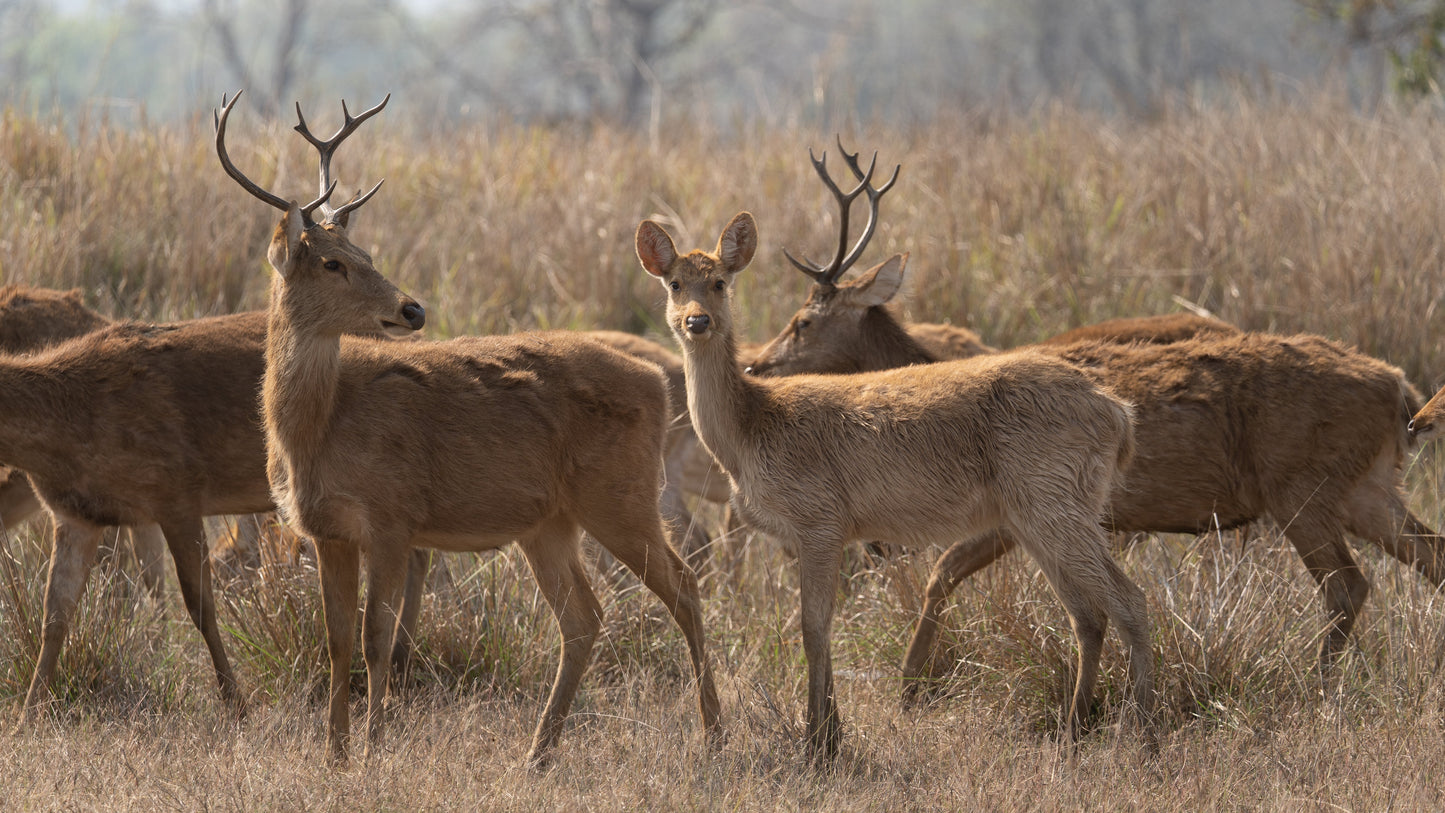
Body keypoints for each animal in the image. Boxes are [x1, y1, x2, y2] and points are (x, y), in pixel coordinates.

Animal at [215, 91, 719, 766]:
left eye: (367, 256)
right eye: (331, 262)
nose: (412, 308)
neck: (318, 429)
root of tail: (658, 384)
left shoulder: (393, 516)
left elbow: (378, 637)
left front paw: (372, 748)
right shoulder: (328, 530)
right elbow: (336, 641)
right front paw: (334, 754)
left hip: (622, 496)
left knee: (683, 584)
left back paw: (713, 731)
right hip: (549, 522)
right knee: (584, 616)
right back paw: (538, 751)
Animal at [636, 190, 1155, 759]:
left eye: (720, 282)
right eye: (674, 283)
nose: (697, 322)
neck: (752, 429)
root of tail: (1120, 415)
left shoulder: (820, 518)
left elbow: (812, 627)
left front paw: (818, 742)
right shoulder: (823, 533)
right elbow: (822, 626)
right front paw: (831, 732)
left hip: (1054, 500)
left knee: (1130, 601)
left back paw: (1144, 735)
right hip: (1037, 515)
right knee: (1088, 615)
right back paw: (1072, 732)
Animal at [743, 143, 1439, 708]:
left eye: (803, 321)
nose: (756, 362)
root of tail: (1398, 389)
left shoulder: (1017, 505)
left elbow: (942, 571)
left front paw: (911, 684)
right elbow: (953, 574)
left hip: (1302, 486)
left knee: (1347, 585)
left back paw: (1315, 685)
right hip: (1366, 487)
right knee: (1430, 556)